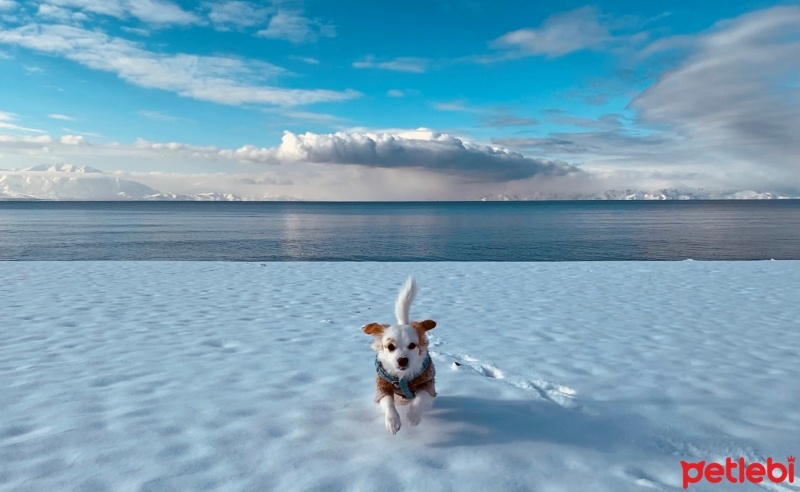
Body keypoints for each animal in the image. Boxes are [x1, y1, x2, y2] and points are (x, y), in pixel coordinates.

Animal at [362, 276, 438, 434]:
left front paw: (413, 416)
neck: (403, 378)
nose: (402, 360)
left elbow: (421, 396)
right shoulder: (382, 386)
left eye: (412, 345)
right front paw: (393, 421)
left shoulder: (429, 385)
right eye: (390, 347)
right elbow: (388, 401)